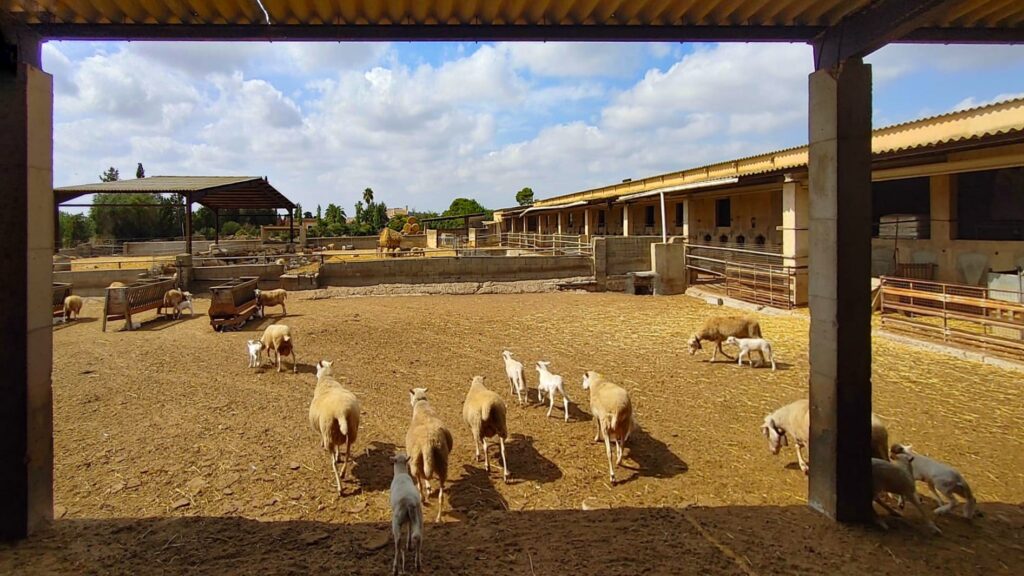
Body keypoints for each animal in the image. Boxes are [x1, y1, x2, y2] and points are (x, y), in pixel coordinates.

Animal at [307, 356, 360, 491]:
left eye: (316, 368)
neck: (327, 379)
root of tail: (341, 412)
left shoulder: (326, 432)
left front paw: (322, 444)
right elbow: (339, 447)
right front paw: (338, 454)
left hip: (328, 433)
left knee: (334, 464)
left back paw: (340, 487)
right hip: (351, 432)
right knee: (347, 453)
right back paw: (343, 472)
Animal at [405, 385, 454, 520]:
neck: (422, 407)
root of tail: (429, 442)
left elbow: (423, 479)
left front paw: (428, 488)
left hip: (415, 462)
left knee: (420, 480)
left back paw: (422, 498)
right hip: (442, 463)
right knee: (441, 497)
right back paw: (438, 518)